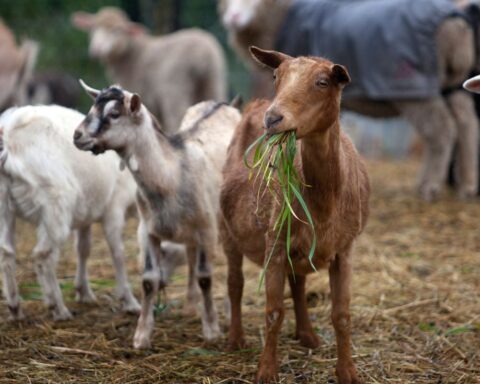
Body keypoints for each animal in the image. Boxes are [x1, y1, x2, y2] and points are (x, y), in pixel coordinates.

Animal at [0, 103, 142, 320]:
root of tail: (9, 136)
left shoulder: (86, 214)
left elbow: (83, 249)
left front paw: (84, 292)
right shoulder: (114, 209)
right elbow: (117, 252)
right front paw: (130, 302)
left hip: (3, 203)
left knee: (6, 252)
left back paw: (15, 308)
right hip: (55, 204)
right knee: (43, 255)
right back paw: (58, 308)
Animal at [71, 6, 227, 134]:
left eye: (117, 30)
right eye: (93, 28)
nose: (96, 49)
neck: (133, 55)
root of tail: (203, 55)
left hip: (175, 90)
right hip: (213, 82)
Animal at [72, 80, 240, 348]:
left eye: (114, 114)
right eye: (92, 107)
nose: (77, 136)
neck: (171, 175)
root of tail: (224, 103)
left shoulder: (206, 228)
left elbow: (205, 276)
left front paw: (212, 330)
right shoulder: (148, 230)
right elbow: (149, 280)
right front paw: (141, 336)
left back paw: (227, 310)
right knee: (190, 256)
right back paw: (190, 306)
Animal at [221, 46, 372, 382]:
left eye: (322, 82)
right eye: (276, 76)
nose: (273, 119)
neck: (325, 202)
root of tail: (254, 105)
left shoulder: (345, 249)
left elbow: (342, 315)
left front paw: (347, 371)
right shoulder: (274, 243)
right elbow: (273, 312)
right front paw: (266, 370)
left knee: (298, 285)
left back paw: (307, 335)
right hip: (227, 231)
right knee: (235, 283)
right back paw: (235, 338)